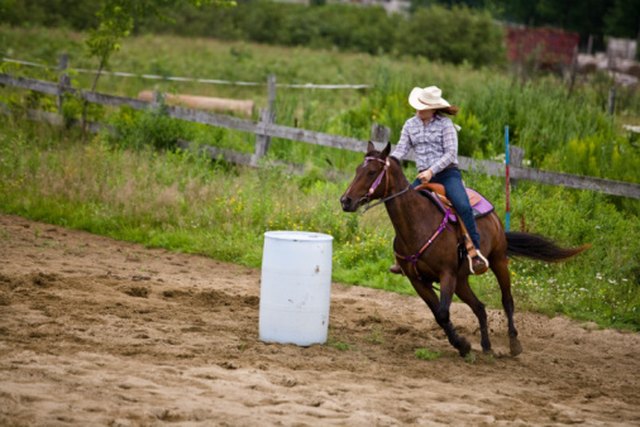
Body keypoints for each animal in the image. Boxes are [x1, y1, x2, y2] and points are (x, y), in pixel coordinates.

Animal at [342, 143, 588, 358]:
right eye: (357, 170)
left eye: (372, 172)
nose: (345, 200)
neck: (418, 223)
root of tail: (495, 217)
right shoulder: (418, 280)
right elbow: (438, 315)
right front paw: (463, 345)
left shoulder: (447, 275)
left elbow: (443, 313)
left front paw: (462, 344)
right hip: (462, 280)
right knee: (480, 307)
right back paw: (487, 346)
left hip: (498, 260)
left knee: (507, 300)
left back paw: (514, 344)